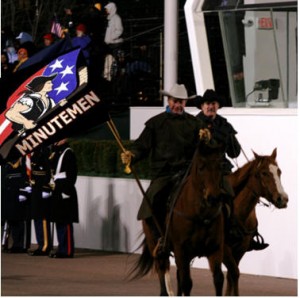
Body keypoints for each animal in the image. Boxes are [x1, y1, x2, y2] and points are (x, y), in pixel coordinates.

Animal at [130, 142, 226, 296]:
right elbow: (186, 283)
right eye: (201, 167)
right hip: (155, 244)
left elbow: (218, 278)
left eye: (220, 167)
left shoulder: (215, 248)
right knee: (162, 267)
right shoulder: (182, 250)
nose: (214, 197)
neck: (200, 214)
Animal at [223, 149, 288, 296]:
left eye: (279, 171)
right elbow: (233, 273)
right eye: (264, 173)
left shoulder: (241, 248)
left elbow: (232, 275)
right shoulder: (224, 248)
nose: (283, 199)